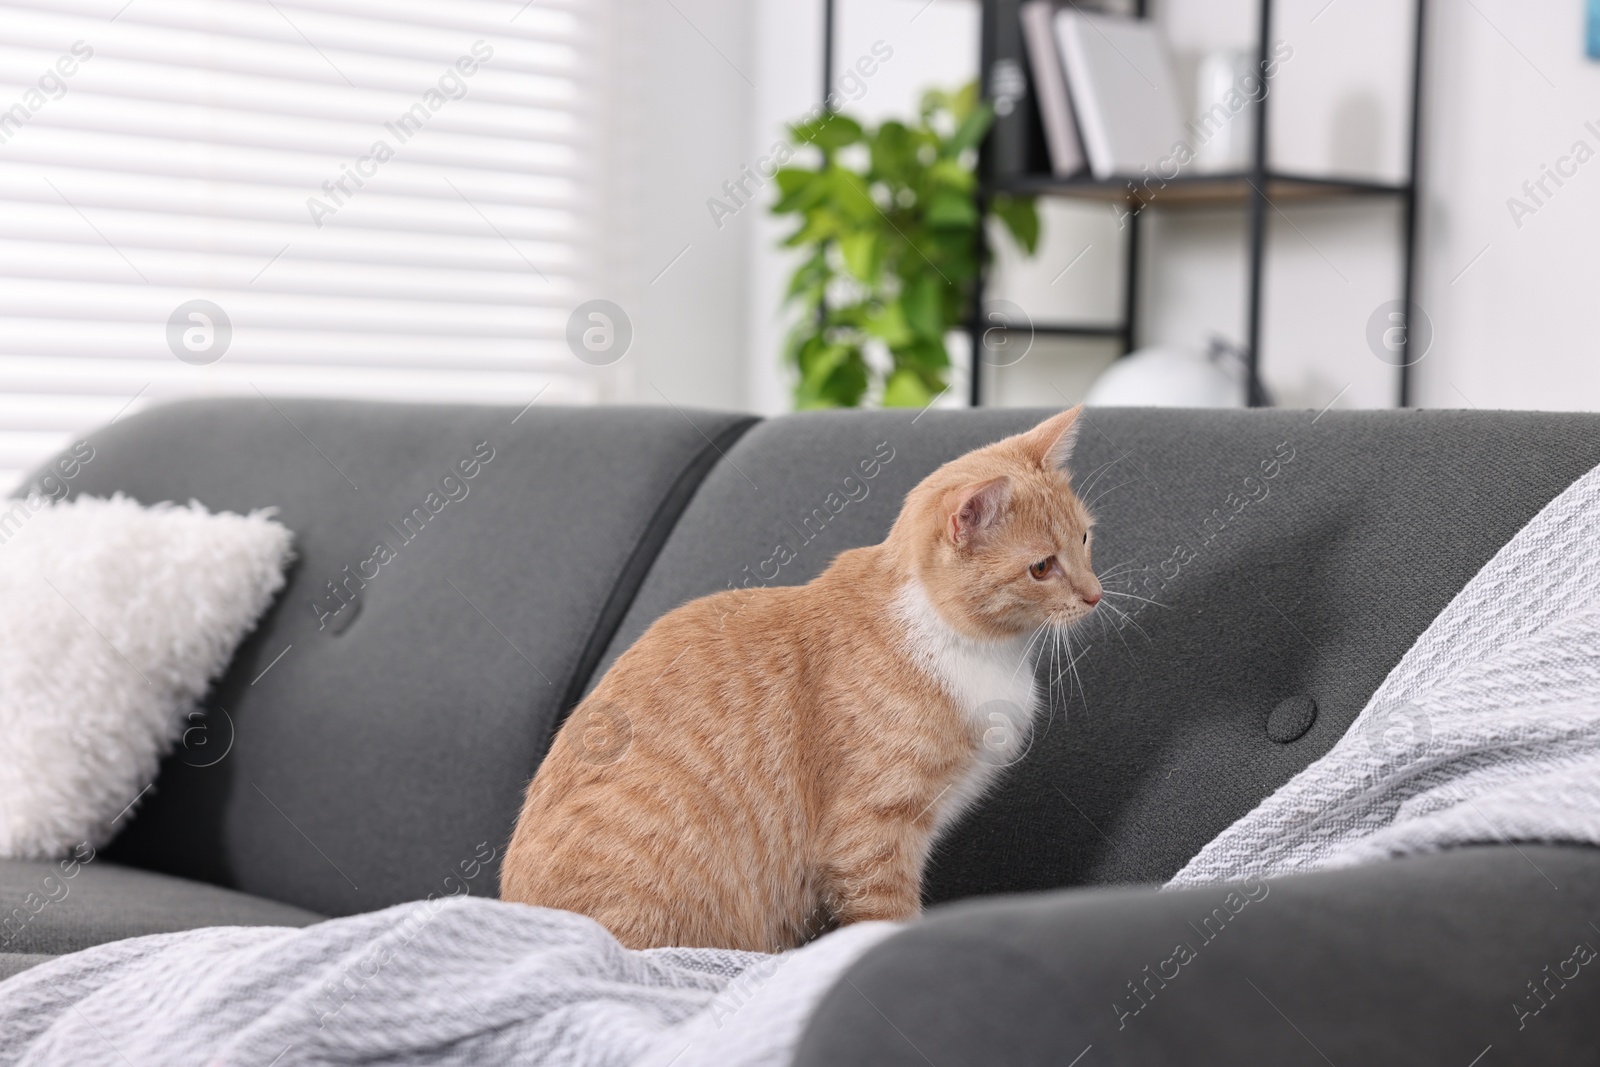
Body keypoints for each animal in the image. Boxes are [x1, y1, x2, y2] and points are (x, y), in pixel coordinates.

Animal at [499, 406, 1100, 953]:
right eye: (1042, 567)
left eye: (1086, 539)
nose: (1096, 596)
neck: (976, 646)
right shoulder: (870, 834)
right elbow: (884, 920)